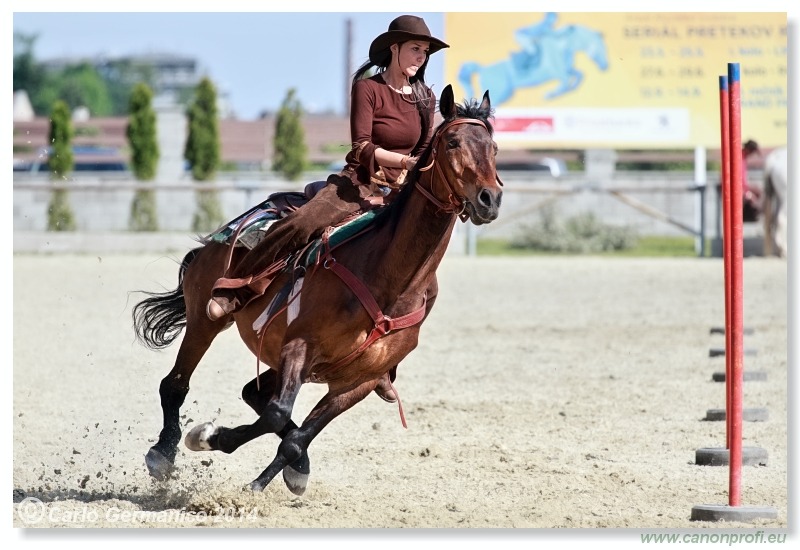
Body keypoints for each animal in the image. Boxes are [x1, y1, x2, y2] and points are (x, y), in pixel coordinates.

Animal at [134, 85, 504, 496]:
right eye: (453, 142)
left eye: (494, 147)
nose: (490, 198)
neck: (388, 281)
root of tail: (218, 238)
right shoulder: (300, 345)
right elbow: (278, 413)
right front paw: (209, 438)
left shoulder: (358, 382)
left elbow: (295, 437)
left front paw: (273, 475)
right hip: (205, 320)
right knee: (176, 384)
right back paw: (163, 453)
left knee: (253, 394)